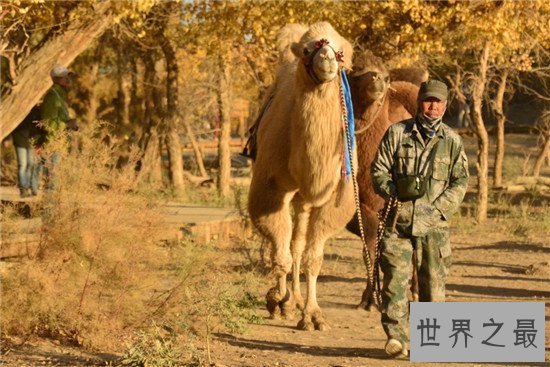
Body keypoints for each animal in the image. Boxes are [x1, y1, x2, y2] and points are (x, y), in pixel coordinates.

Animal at [250, 23, 358, 332]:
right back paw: (287, 300)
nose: (328, 59)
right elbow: (280, 251)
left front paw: (313, 315)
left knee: (298, 243)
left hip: (304, 199)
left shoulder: (333, 195)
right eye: (308, 49)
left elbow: (313, 258)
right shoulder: (270, 187)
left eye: (341, 51)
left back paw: (297, 300)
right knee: (288, 244)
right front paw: (276, 299)